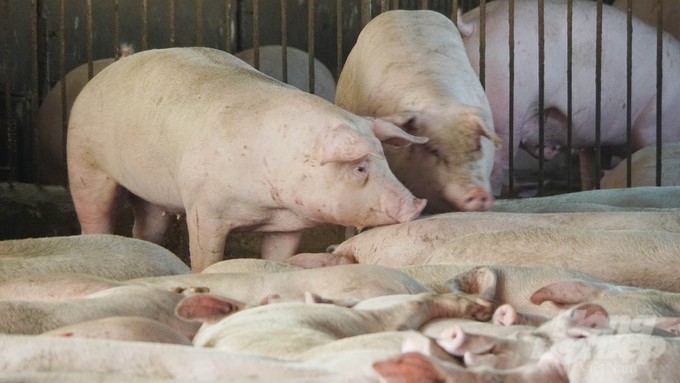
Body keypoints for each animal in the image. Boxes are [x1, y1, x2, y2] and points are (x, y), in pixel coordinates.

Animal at [65, 45, 424, 272]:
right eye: (359, 167)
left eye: (387, 163)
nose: (416, 204)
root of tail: (115, 65)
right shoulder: (204, 208)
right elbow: (206, 256)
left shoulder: (287, 225)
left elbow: (277, 254)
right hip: (84, 162)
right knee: (95, 214)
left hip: (150, 193)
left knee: (147, 227)